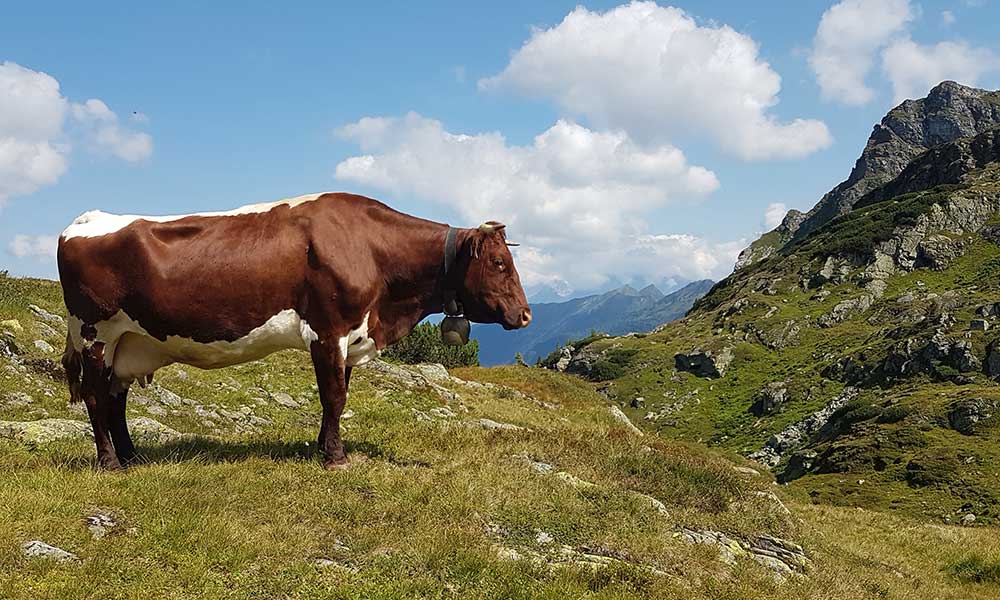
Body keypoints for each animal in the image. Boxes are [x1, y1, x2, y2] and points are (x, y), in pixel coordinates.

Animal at [56, 192, 532, 468]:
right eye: (498, 263)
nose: (526, 314)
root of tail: (84, 220)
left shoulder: (351, 334)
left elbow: (337, 396)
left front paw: (322, 447)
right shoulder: (327, 329)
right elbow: (334, 396)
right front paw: (336, 458)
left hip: (128, 343)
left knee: (116, 399)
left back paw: (131, 455)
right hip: (95, 332)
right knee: (96, 398)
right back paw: (109, 462)